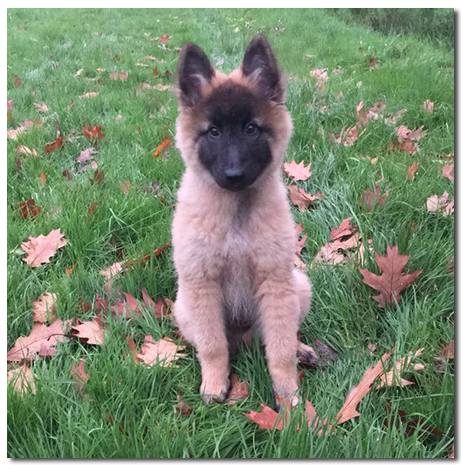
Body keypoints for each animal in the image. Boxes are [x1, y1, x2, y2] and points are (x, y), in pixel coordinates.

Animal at [172, 34, 316, 404]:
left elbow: (279, 347)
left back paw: (302, 350)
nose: (234, 175)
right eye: (213, 132)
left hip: (299, 286)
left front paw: (287, 392)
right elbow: (212, 346)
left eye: (251, 129)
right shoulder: (202, 285)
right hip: (184, 307)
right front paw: (214, 383)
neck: (235, 212)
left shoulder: (276, 282)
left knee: (279, 336)